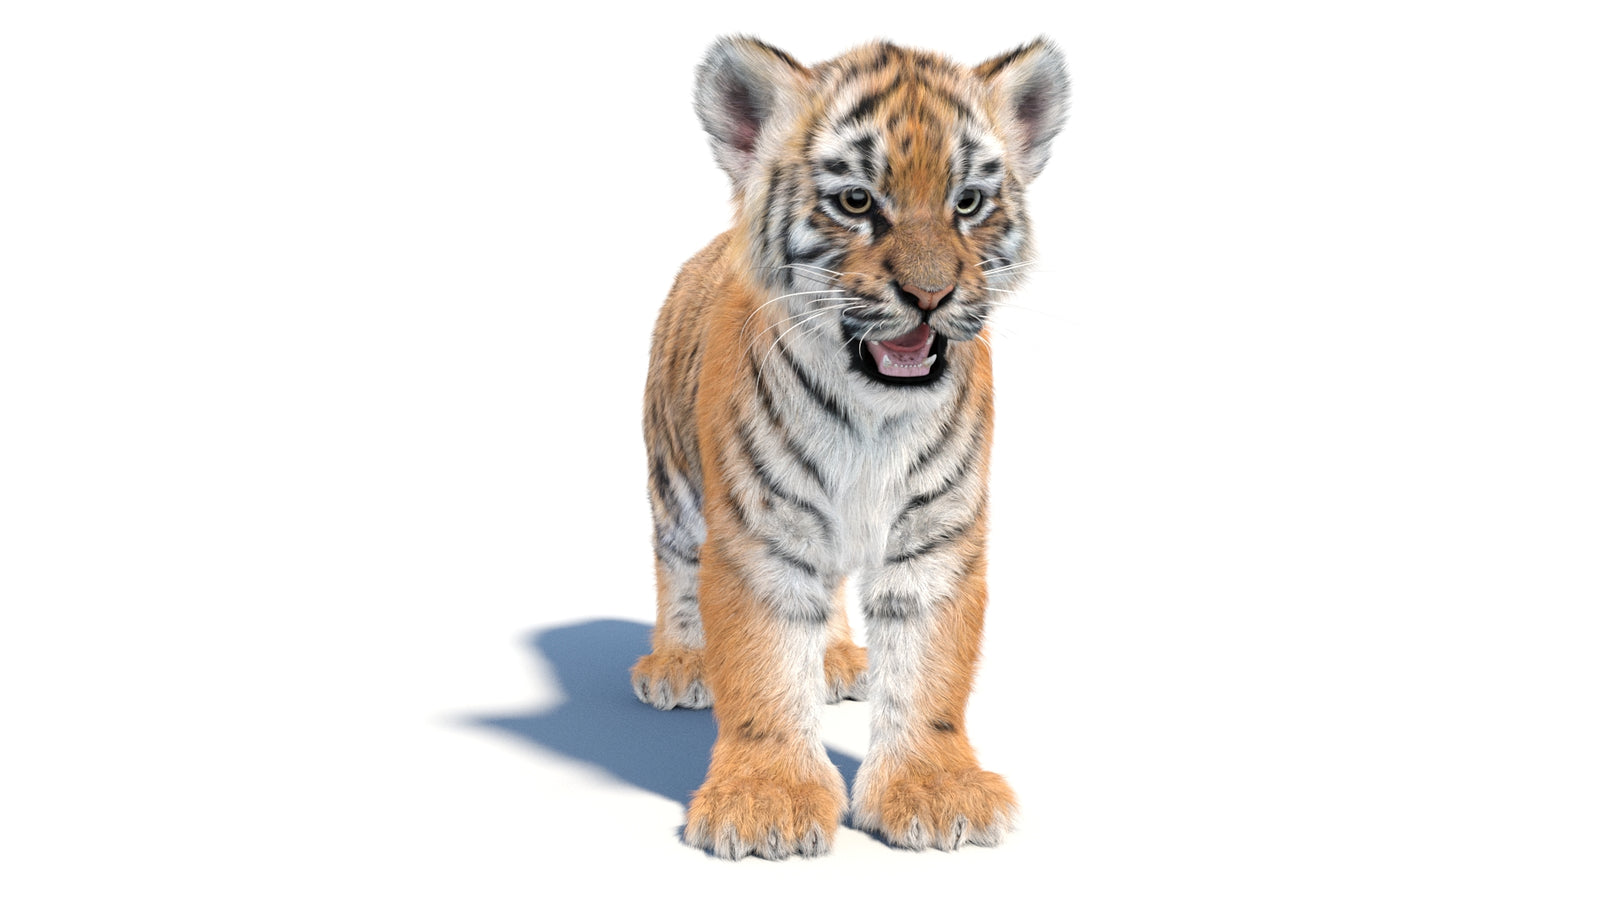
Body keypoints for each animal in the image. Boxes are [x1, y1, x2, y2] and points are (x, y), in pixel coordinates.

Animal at [631, 35, 1069, 859]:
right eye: (857, 202)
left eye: (968, 203)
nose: (930, 296)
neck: (873, 420)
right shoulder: (759, 535)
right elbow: (763, 665)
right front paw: (765, 803)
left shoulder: (936, 538)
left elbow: (929, 670)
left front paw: (935, 792)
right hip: (672, 479)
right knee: (674, 565)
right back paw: (678, 665)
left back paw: (836, 659)